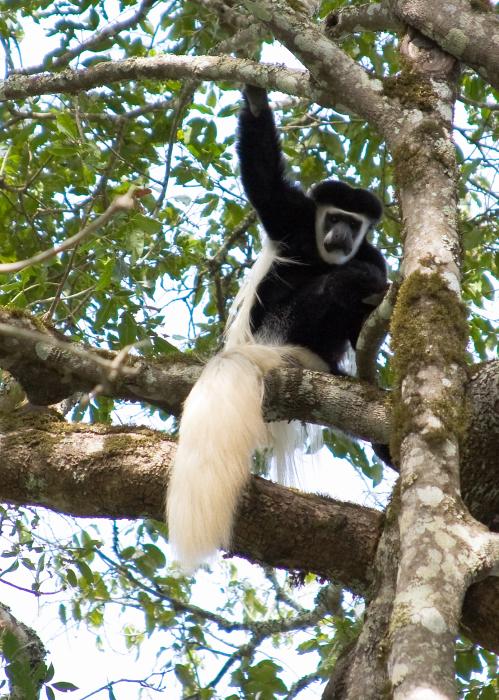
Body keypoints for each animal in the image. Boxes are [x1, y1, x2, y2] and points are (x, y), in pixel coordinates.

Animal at [166, 86, 388, 568]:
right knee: (333, 285)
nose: (342, 236)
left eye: (354, 223)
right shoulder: (292, 216)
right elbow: (264, 183)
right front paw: (254, 100)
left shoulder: (373, 252)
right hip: (279, 324)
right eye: (333, 217)